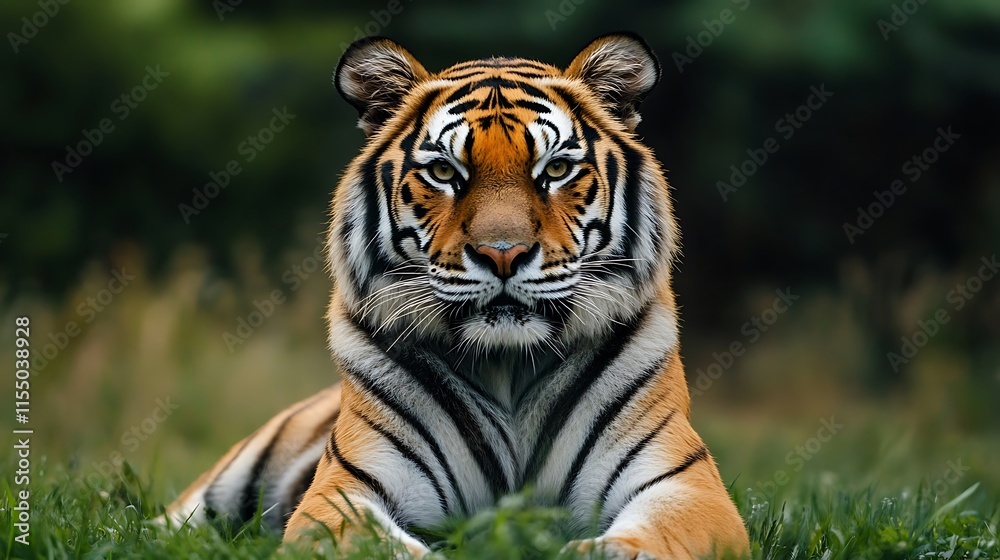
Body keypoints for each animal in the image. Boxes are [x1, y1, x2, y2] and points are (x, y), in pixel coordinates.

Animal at [165, 32, 750, 559]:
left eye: (557, 169)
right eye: (445, 171)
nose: (503, 254)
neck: (507, 364)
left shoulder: (686, 485)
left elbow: (650, 541)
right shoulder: (341, 492)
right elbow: (378, 546)